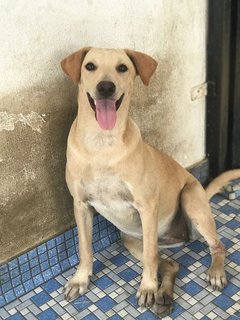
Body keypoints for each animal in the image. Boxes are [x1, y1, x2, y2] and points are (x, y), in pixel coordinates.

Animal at [60, 48, 240, 318]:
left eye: (122, 68)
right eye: (90, 66)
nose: (106, 87)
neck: (102, 143)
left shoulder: (146, 206)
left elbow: (150, 259)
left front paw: (147, 287)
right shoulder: (80, 205)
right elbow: (85, 247)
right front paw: (80, 279)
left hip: (189, 202)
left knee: (216, 246)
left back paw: (213, 273)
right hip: (131, 239)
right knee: (169, 263)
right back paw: (164, 296)